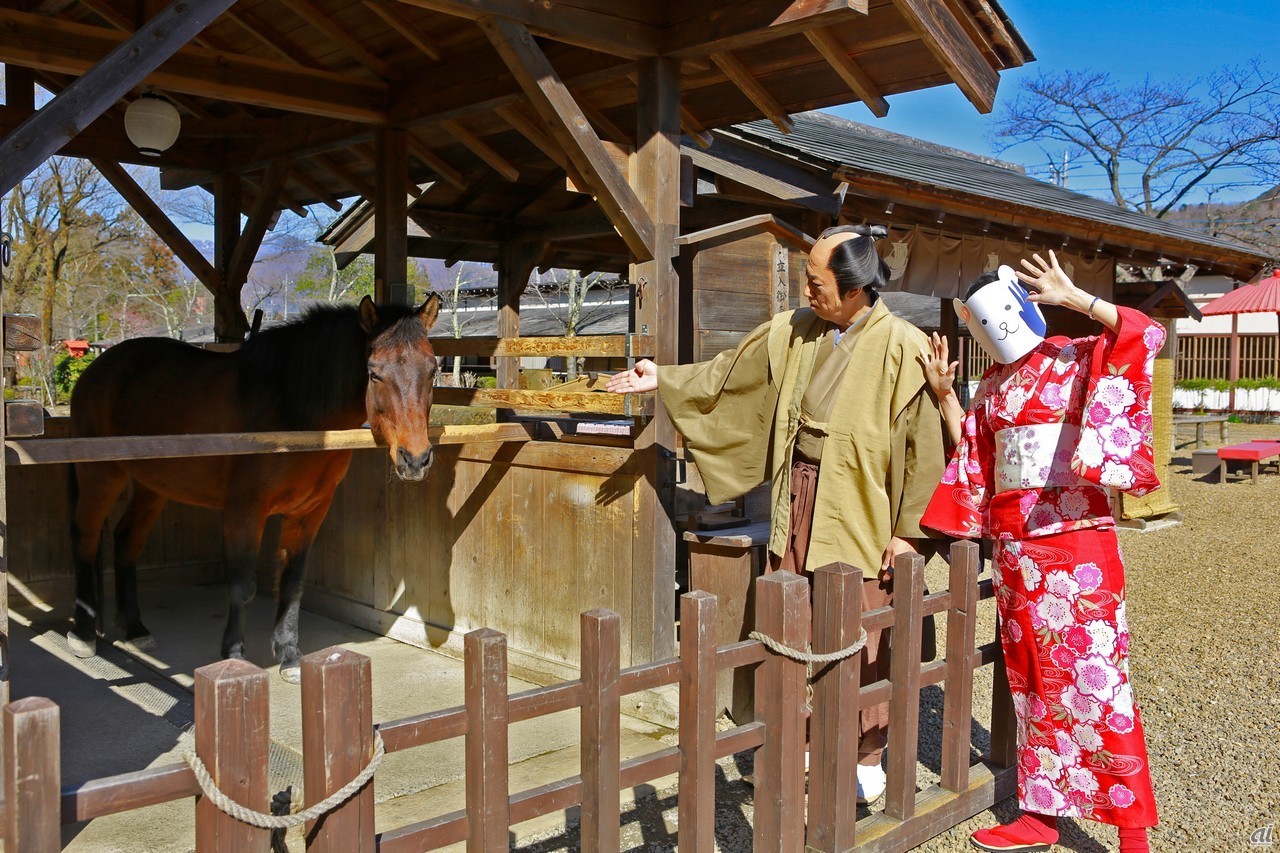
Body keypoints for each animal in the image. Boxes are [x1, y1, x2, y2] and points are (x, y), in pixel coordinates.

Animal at [68, 295, 440, 681]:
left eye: (433, 370)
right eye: (373, 372)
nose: (415, 459)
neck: (292, 414)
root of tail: (97, 368)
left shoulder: (310, 513)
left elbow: (293, 583)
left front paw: (289, 655)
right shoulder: (244, 513)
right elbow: (243, 587)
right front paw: (233, 657)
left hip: (151, 485)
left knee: (126, 539)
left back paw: (135, 629)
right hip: (101, 476)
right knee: (85, 537)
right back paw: (83, 634)